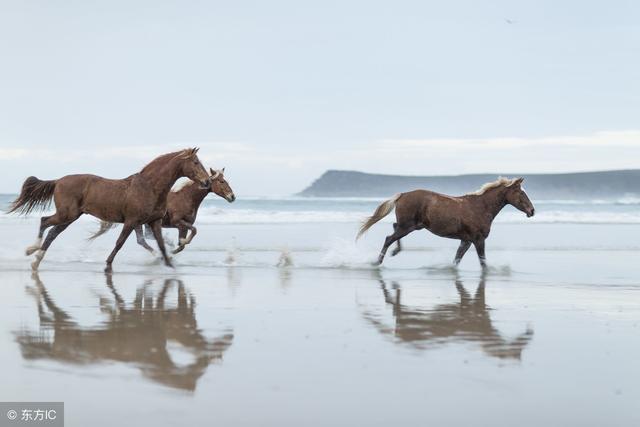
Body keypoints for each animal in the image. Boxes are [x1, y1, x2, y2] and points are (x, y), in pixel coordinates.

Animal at [7, 149, 211, 272]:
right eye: (195, 162)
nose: (207, 181)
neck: (149, 187)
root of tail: (58, 181)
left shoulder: (154, 222)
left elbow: (160, 245)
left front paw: (169, 264)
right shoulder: (131, 221)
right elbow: (120, 243)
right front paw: (107, 266)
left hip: (70, 217)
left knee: (52, 233)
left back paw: (36, 259)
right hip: (67, 214)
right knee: (44, 222)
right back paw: (32, 251)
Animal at [89, 167, 235, 254]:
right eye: (221, 181)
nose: (232, 196)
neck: (186, 197)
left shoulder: (182, 226)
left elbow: (183, 243)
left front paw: (174, 248)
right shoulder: (178, 222)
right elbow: (193, 232)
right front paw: (173, 249)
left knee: (143, 239)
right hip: (137, 222)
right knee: (142, 240)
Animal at [358, 177, 532, 268]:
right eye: (521, 193)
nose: (532, 211)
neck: (481, 207)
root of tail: (403, 194)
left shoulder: (466, 240)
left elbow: (457, 259)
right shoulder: (478, 239)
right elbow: (483, 262)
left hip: (411, 226)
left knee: (393, 229)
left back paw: (394, 252)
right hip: (408, 226)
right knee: (389, 238)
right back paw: (378, 261)